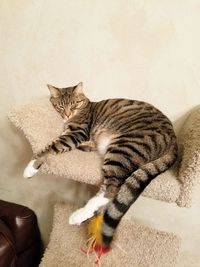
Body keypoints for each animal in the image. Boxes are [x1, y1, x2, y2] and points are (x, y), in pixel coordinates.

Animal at [23, 82, 178, 248]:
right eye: (60, 106)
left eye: (75, 104)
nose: (68, 114)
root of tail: (174, 142)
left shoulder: (77, 132)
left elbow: (51, 146)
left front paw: (30, 168)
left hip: (123, 149)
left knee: (111, 190)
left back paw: (78, 216)